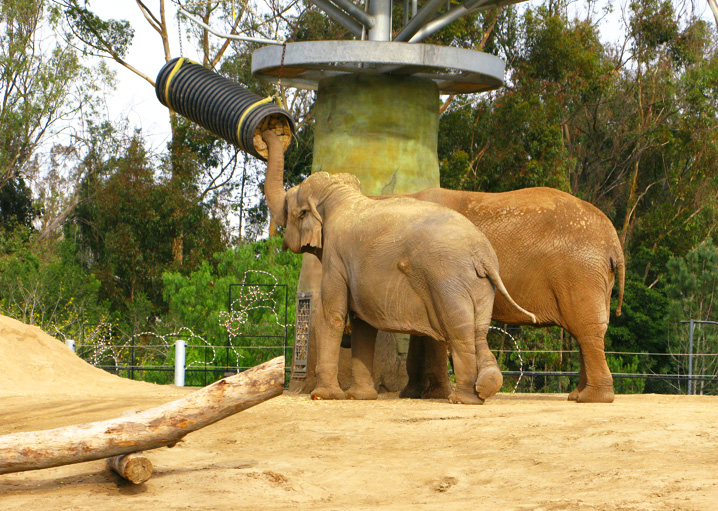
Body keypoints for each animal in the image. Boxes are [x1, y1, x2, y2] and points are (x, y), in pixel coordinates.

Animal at [262, 131, 536, 404]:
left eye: (290, 208)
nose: (268, 133)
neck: (339, 195)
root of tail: (482, 254)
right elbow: (362, 323)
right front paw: (360, 397)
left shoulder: (335, 256)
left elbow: (334, 314)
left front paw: (325, 396)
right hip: (480, 285)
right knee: (478, 331)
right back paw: (485, 388)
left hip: (448, 282)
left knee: (459, 333)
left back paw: (462, 399)